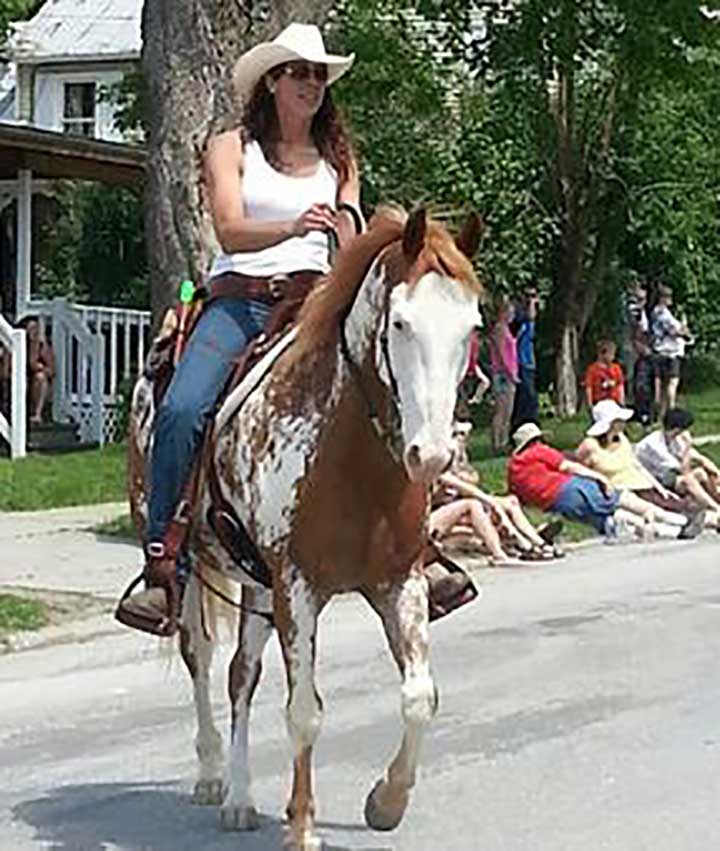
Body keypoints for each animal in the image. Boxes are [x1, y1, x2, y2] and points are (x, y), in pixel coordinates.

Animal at [128, 208, 484, 851]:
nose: (432, 456)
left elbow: (420, 697)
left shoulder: (399, 583)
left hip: (255, 582)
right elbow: (305, 711)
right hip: (192, 565)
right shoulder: (298, 588)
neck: (346, 451)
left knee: (241, 677)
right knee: (201, 658)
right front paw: (302, 826)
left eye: (470, 326)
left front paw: (386, 802)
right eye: (400, 323)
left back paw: (241, 800)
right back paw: (213, 775)